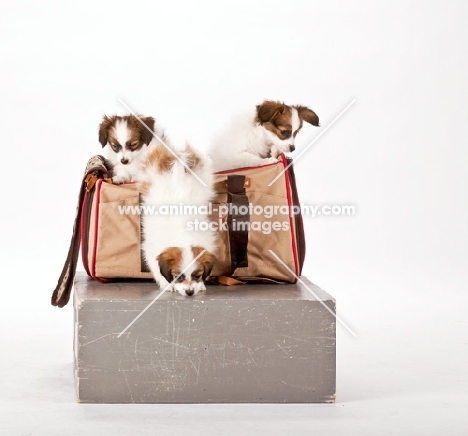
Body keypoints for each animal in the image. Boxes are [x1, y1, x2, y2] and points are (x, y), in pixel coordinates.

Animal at [139, 143, 218, 296]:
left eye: (197, 276)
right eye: (178, 277)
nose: (190, 292)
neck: (183, 236)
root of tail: (175, 159)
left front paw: (201, 285)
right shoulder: (151, 252)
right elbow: (157, 271)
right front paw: (167, 285)